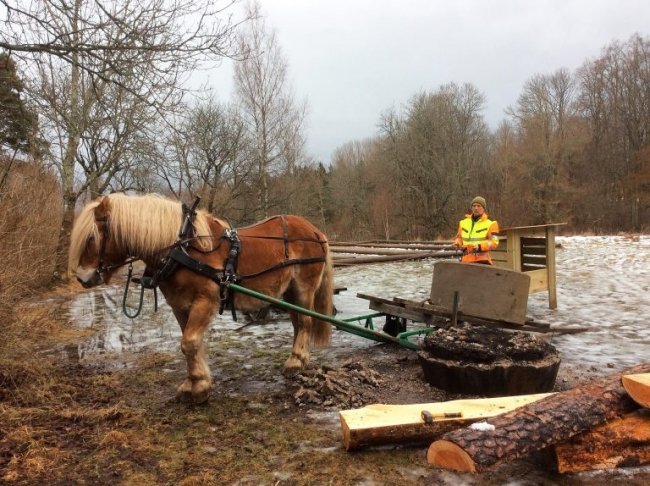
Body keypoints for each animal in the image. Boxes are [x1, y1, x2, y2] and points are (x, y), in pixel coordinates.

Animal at [68, 193, 332, 402]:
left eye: (91, 237)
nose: (82, 277)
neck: (182, 249)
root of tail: (314, 230)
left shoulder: (206, 301)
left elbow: (189, 342)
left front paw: (199, 388)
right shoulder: (180, 306)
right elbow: (191, 344)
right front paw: (194, 382)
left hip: (303, 289)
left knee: (305, 322)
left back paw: (296, 362)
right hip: (288, 292)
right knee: (298, 323)